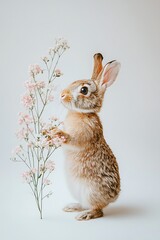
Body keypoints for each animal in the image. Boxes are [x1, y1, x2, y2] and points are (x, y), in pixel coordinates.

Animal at [55, 53, 120, 220]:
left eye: (84, 90)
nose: (62, 95)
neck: (81, 113)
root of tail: (113, 198)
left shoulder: (86, 133)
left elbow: (74, 140)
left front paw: (58, 134)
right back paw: (72, 207)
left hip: (90, 191)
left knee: (98, 210)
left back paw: (85, 215)